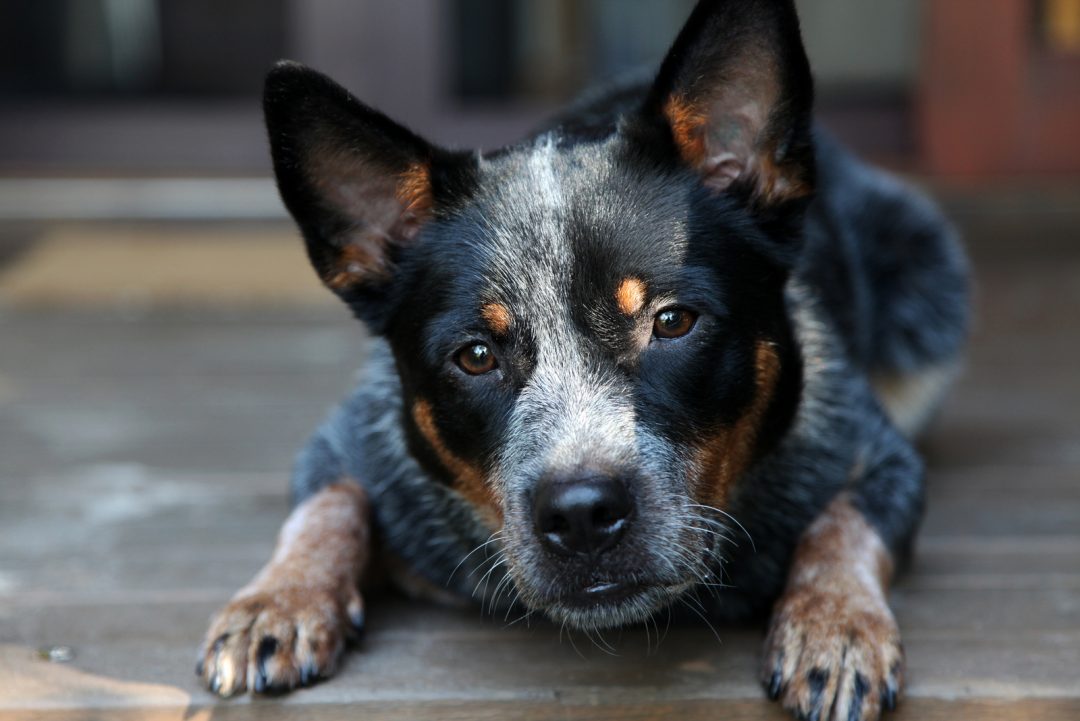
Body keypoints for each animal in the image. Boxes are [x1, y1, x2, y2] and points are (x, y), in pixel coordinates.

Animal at [196, 2, 972, 716]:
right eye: (475, 355)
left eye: (672, 321)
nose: (580, 513)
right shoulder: (350, 437)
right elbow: (326, 503)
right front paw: (275, 602)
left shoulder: (875, 449)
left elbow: (846, 521)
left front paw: (836, 624)